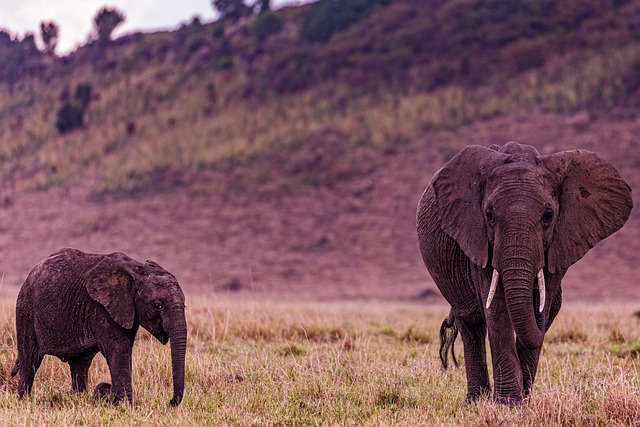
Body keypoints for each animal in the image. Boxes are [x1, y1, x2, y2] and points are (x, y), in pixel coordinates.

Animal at [11, 247, 186, 404]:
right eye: (157, 305)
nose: (171, 401)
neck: (138, 270)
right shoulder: (100, 307)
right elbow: (119, 349)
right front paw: (126, 406)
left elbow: (125, 350)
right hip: (25, 310)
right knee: (30, 361)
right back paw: (23, 402)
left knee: (80, 364)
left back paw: (78, 400)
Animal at [418, 143, 632, 404]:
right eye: (489, 215)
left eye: (548, 216)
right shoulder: (477, 240)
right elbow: (497, 309)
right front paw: (509, 404)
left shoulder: (559, 242)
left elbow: (542, 302)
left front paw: (522, 403)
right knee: (471, 325)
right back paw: (476, 401)